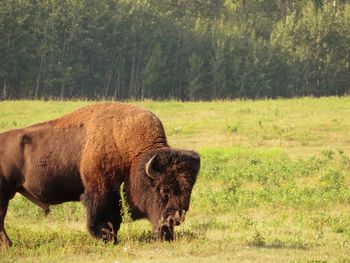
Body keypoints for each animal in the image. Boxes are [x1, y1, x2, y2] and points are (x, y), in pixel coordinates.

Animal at [0, 103, 200, 250]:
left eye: (188, 191)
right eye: (164, 190)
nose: (177, 218)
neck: (132, 155)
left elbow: (115, 220)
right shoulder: (99, 191)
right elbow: (100, 218)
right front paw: (107, 239)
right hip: (4, 195)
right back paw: (9, 245)